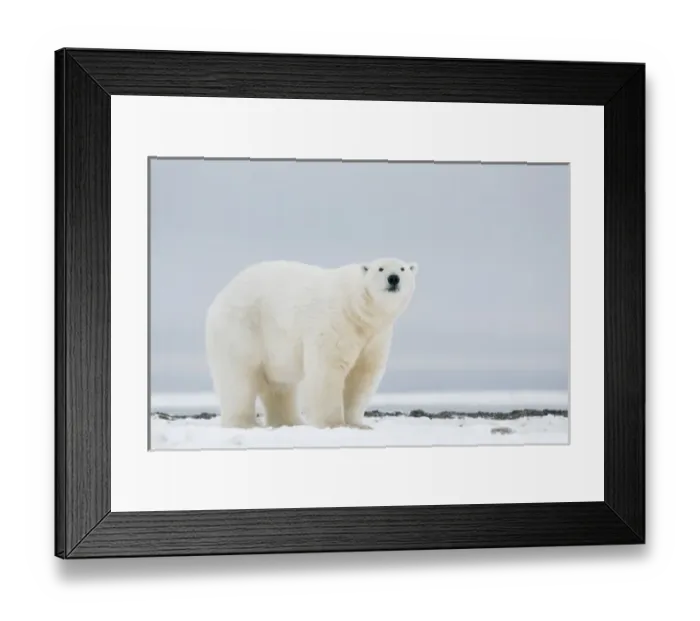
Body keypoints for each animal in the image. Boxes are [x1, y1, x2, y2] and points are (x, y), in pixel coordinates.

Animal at [204, 257, 418, 429]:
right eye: (380, 268)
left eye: (402, 269)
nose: (393, 278)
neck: (356, 309)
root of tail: (221, 295)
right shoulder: (335, 323)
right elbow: (328, 370)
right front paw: (334, 424)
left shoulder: (375, 336)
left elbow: (362, 375)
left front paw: (358, 424)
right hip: (243, 328)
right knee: (239, 377)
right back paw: (245, 423)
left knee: (280, 385)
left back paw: (290, 421)